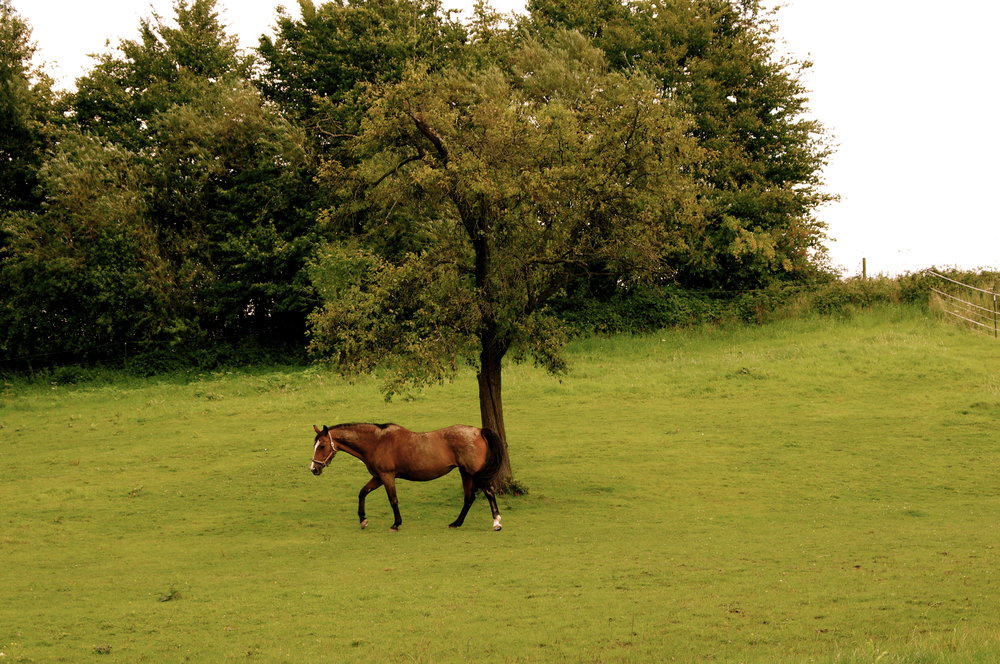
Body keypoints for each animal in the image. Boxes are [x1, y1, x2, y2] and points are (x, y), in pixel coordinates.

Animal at [309, 422, 507, 532]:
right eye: (315, 445)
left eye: (322, 446)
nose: (313, 469)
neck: (377, 442)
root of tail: (479, 431)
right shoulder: (378, 477)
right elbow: (362, 493)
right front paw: (363, 520)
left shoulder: (387, 477)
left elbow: (393, 500)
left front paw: (396, 524)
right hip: (465, 473)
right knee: (469, 498)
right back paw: (456, 523)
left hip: (475, 473)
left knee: (489, 493)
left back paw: (496, 523)